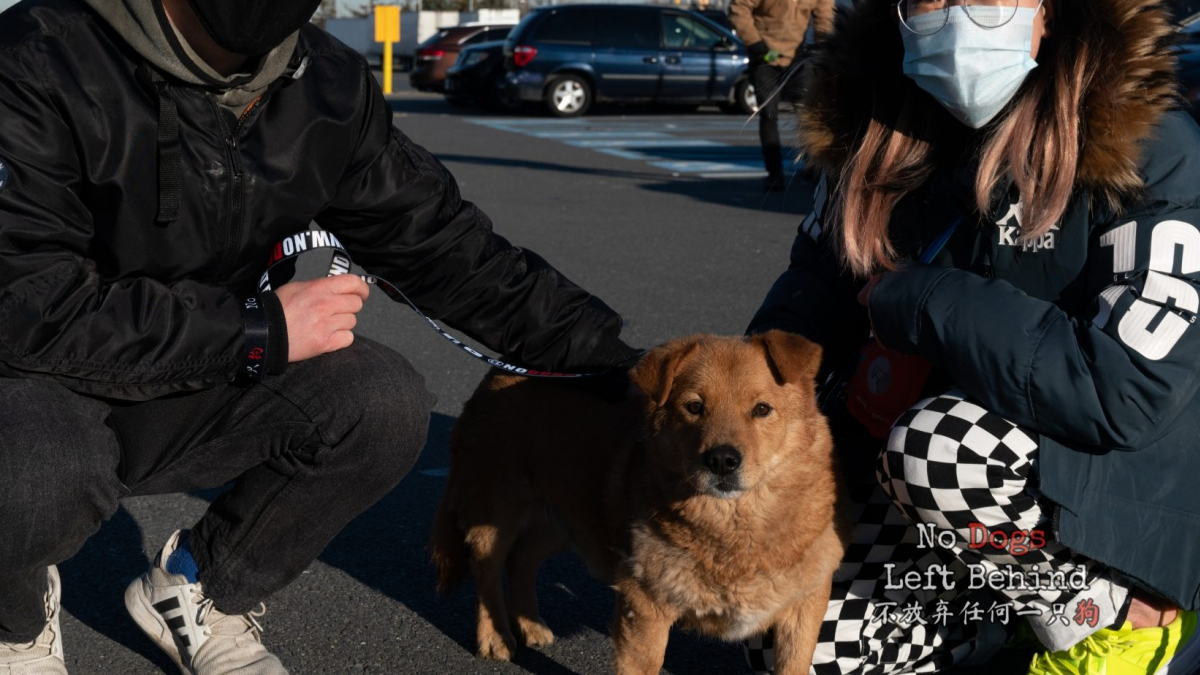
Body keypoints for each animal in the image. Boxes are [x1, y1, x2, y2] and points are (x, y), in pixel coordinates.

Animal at [429, 331, 844, 672]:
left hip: (570, 520)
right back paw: (495, 636)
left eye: (762, 409)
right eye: (694, 407)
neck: (735, 530)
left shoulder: (803, 608)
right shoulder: (643, 607)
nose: (722, 460)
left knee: (522, 560)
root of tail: (500, 370)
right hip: (497, 511)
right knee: (486, 567)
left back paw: (530, 624)